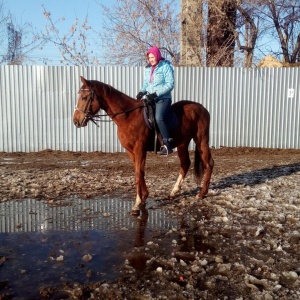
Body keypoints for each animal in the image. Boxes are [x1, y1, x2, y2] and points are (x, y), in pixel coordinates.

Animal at [72, 76, 213, 214]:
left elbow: (138, 174)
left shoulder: (139, 149)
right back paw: (173, 192)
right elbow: (140, 172)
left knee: (209, 163)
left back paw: (201, 194)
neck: (128, 116)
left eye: (84, 97)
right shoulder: (130, 151)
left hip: (201, 140)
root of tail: (202, 108)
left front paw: (137, 203)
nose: (75, 121)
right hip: (182, 143)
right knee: (185, 163)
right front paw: (144, 196)